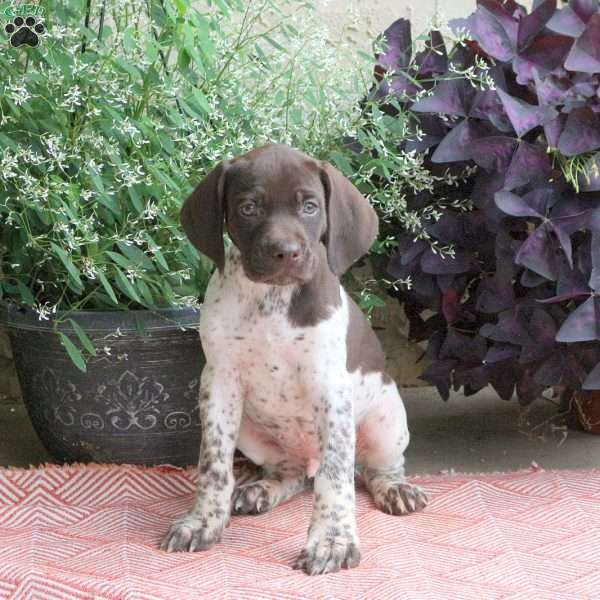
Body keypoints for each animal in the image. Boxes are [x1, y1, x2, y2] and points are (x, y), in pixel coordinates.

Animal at [162, 142, 428, 576]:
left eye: (310, 206)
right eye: (248, 207)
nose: (284, 253)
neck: (272, 299)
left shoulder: (331, 391)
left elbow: (336, 477)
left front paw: (332, 542)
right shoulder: (219, 383)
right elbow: (213, 464)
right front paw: (203, 523)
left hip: (387, 419)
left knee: (371, 469)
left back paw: (395, 489)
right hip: (252, 431)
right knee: (293, 474)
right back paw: (261, 489)